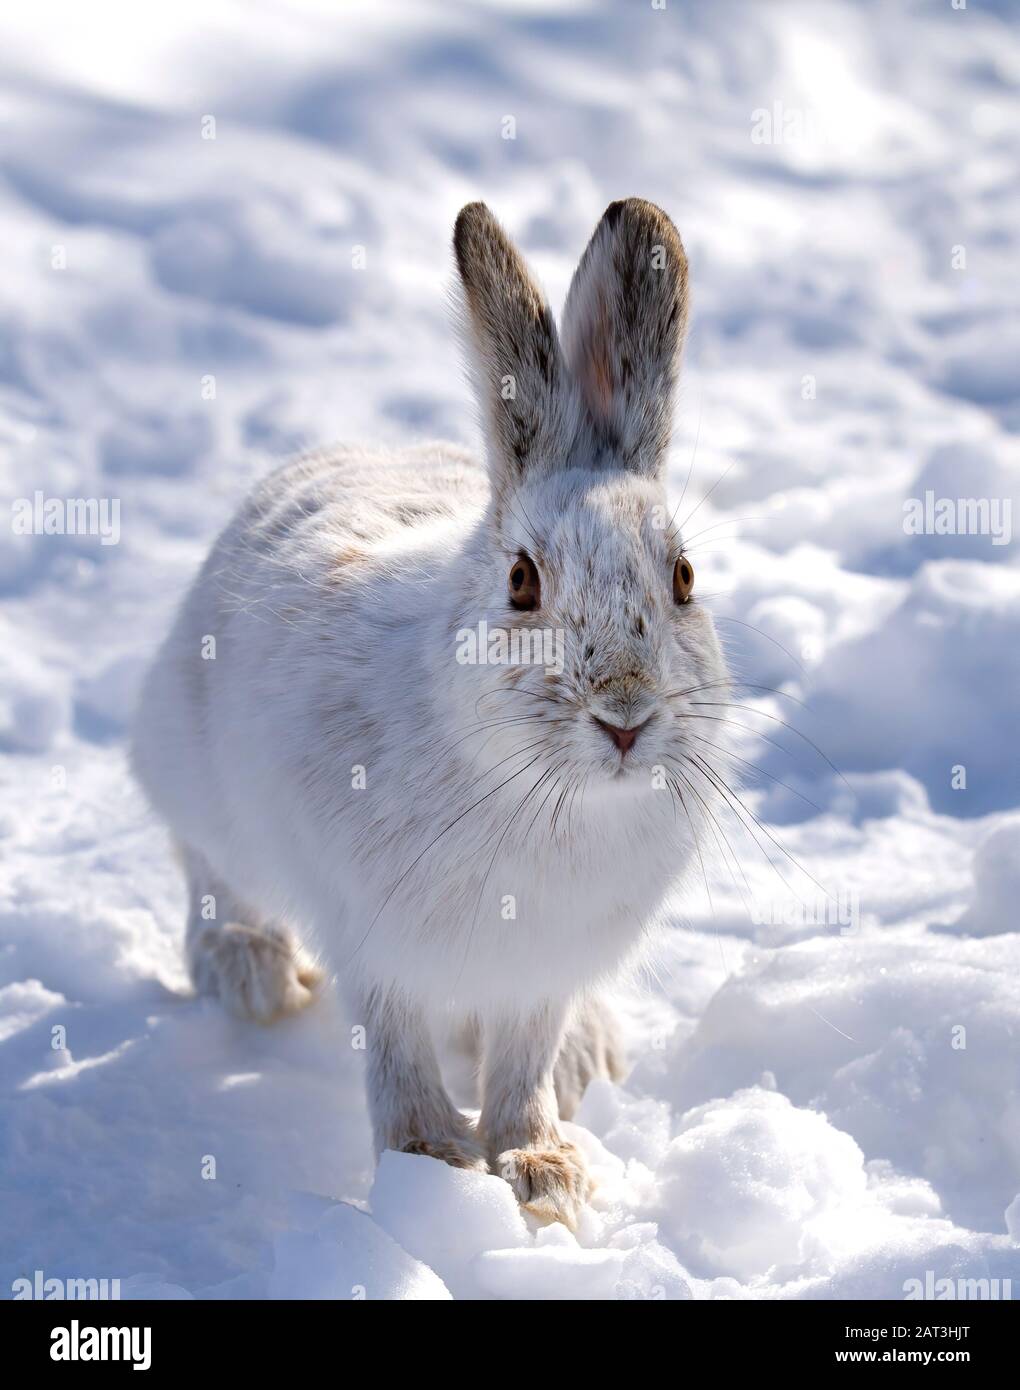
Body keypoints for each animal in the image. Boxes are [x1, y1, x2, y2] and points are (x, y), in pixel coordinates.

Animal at [132, 198, 729, 1228]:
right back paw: (246, 967)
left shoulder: (541, 971)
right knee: (208, 862)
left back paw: (588, 1057)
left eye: (685, 577)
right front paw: (433, 1164)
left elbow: (523, 1061)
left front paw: (545, 1174)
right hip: (191, 759)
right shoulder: (377, 943)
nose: (625, 716)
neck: (542, 792)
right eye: (522, 582)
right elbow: (398, 1048)